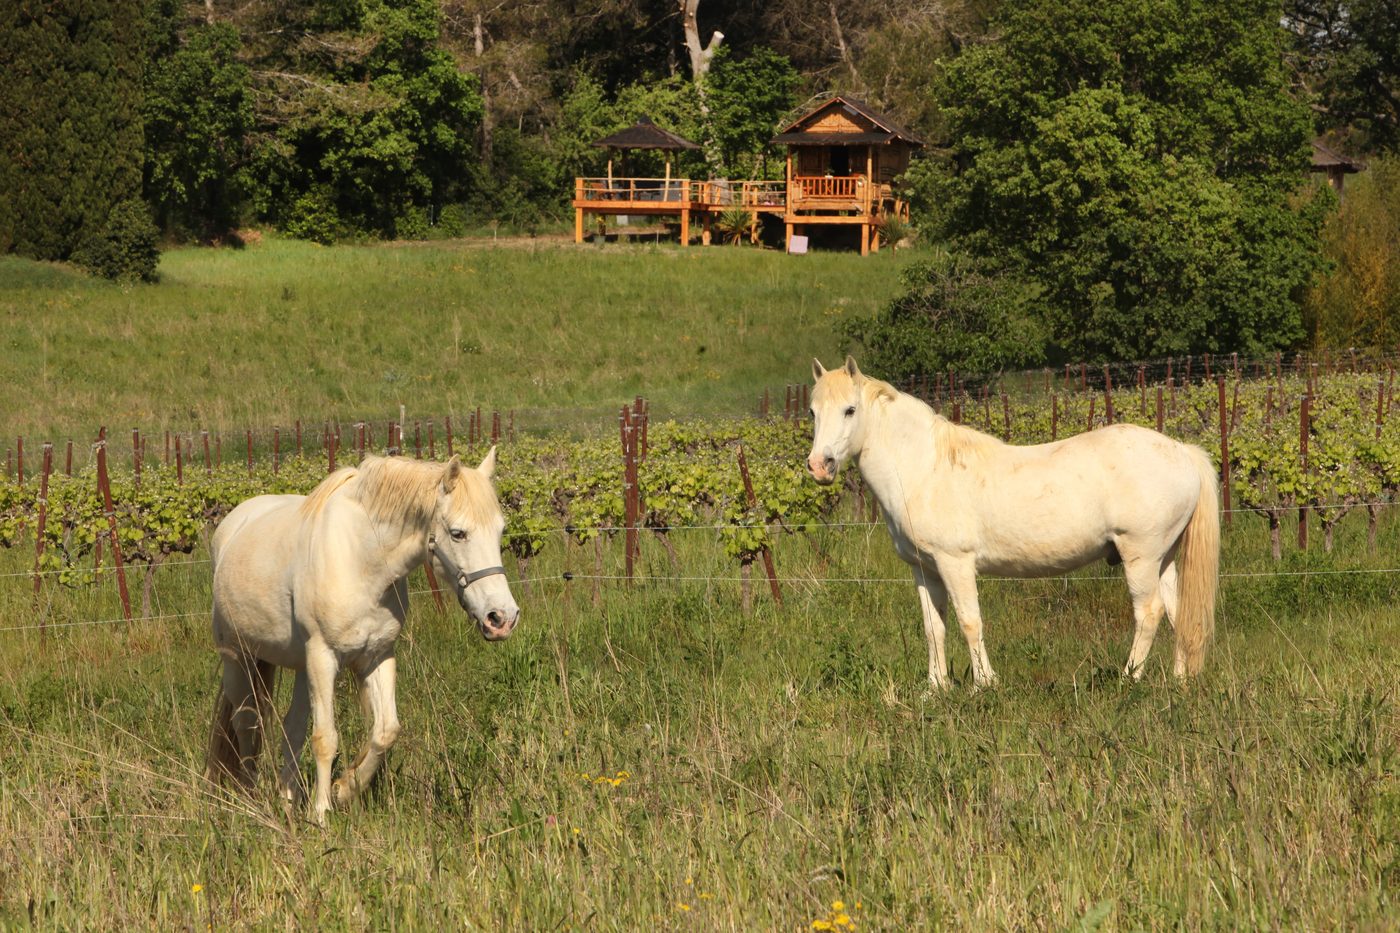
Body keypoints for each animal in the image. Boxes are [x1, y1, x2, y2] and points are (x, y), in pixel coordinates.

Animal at [204, 450, 520, 824]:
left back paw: (287, 801)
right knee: (246, 724)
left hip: (300, 667)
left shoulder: (377, 655)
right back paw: (252, 798)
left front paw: (344, 788)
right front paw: (322, 814)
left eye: (501, 530)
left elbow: (385, 732)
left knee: (291, 729)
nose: (501, 617)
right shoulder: (323, 657)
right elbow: (325, 739)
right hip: (238, 657)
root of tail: (233, 524)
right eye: (458, 533)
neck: (362, 560)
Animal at [806, 357, 1218, 689]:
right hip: (1163, 558)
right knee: (1179, 613)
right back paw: (1179, 681)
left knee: (1149, 613)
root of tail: (1183, 451)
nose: (819, 466)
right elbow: (933, 627)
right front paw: (935, 689)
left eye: (850, 409)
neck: (924, 468)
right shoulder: (924, 569)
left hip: (1141, 556)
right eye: (812, 412)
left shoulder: (955, 563)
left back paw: (1128, 679)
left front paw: (983, 685)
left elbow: (970, 622)